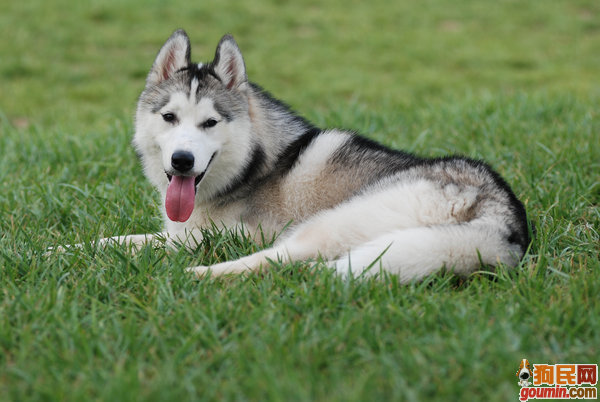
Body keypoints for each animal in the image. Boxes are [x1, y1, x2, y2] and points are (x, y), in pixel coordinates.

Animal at [91, 29, 528, 282]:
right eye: (170, 117)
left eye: (210, 123)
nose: (182, 160)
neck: (253, 166)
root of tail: (505, 214)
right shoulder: (177, 230)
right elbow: (113, 240)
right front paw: (74, 248)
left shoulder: (213, 235)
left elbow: (151, 243)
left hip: (332, 221)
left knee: (274, 258)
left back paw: (200, 276)